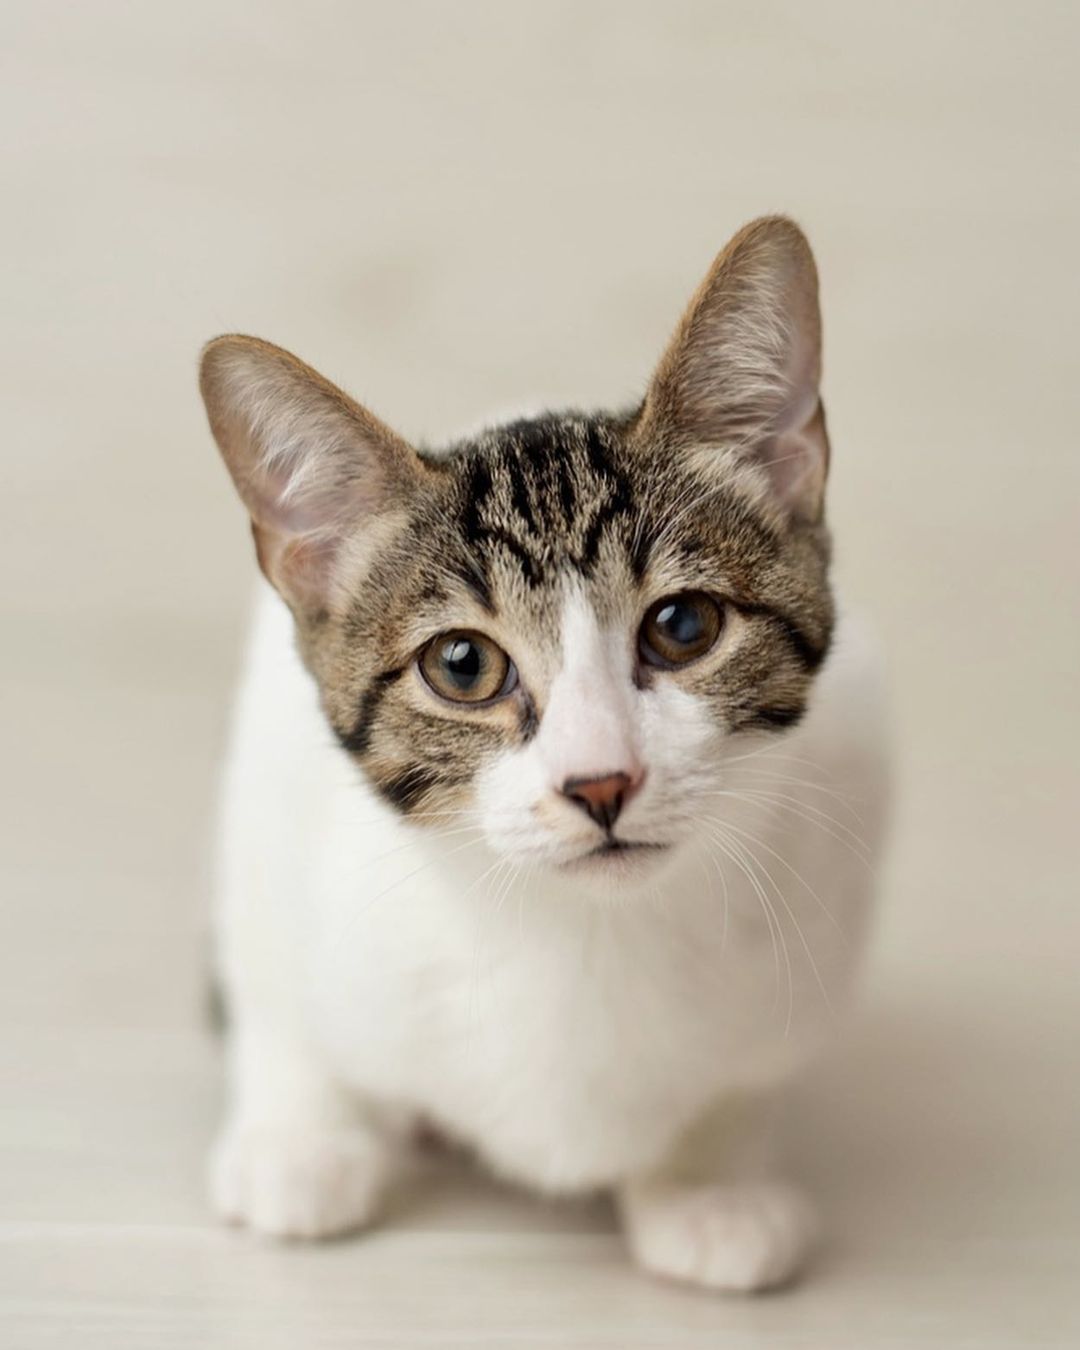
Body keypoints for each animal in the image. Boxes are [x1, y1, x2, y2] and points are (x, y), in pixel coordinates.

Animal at [199, 216, 885, 1290]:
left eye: (683, 625)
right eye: (463, 664)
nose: (601, 781)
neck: (581, 934)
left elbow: (742, 1078)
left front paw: (708, 1182)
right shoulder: (267, 805)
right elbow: (278, 987)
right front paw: (301, 1140)